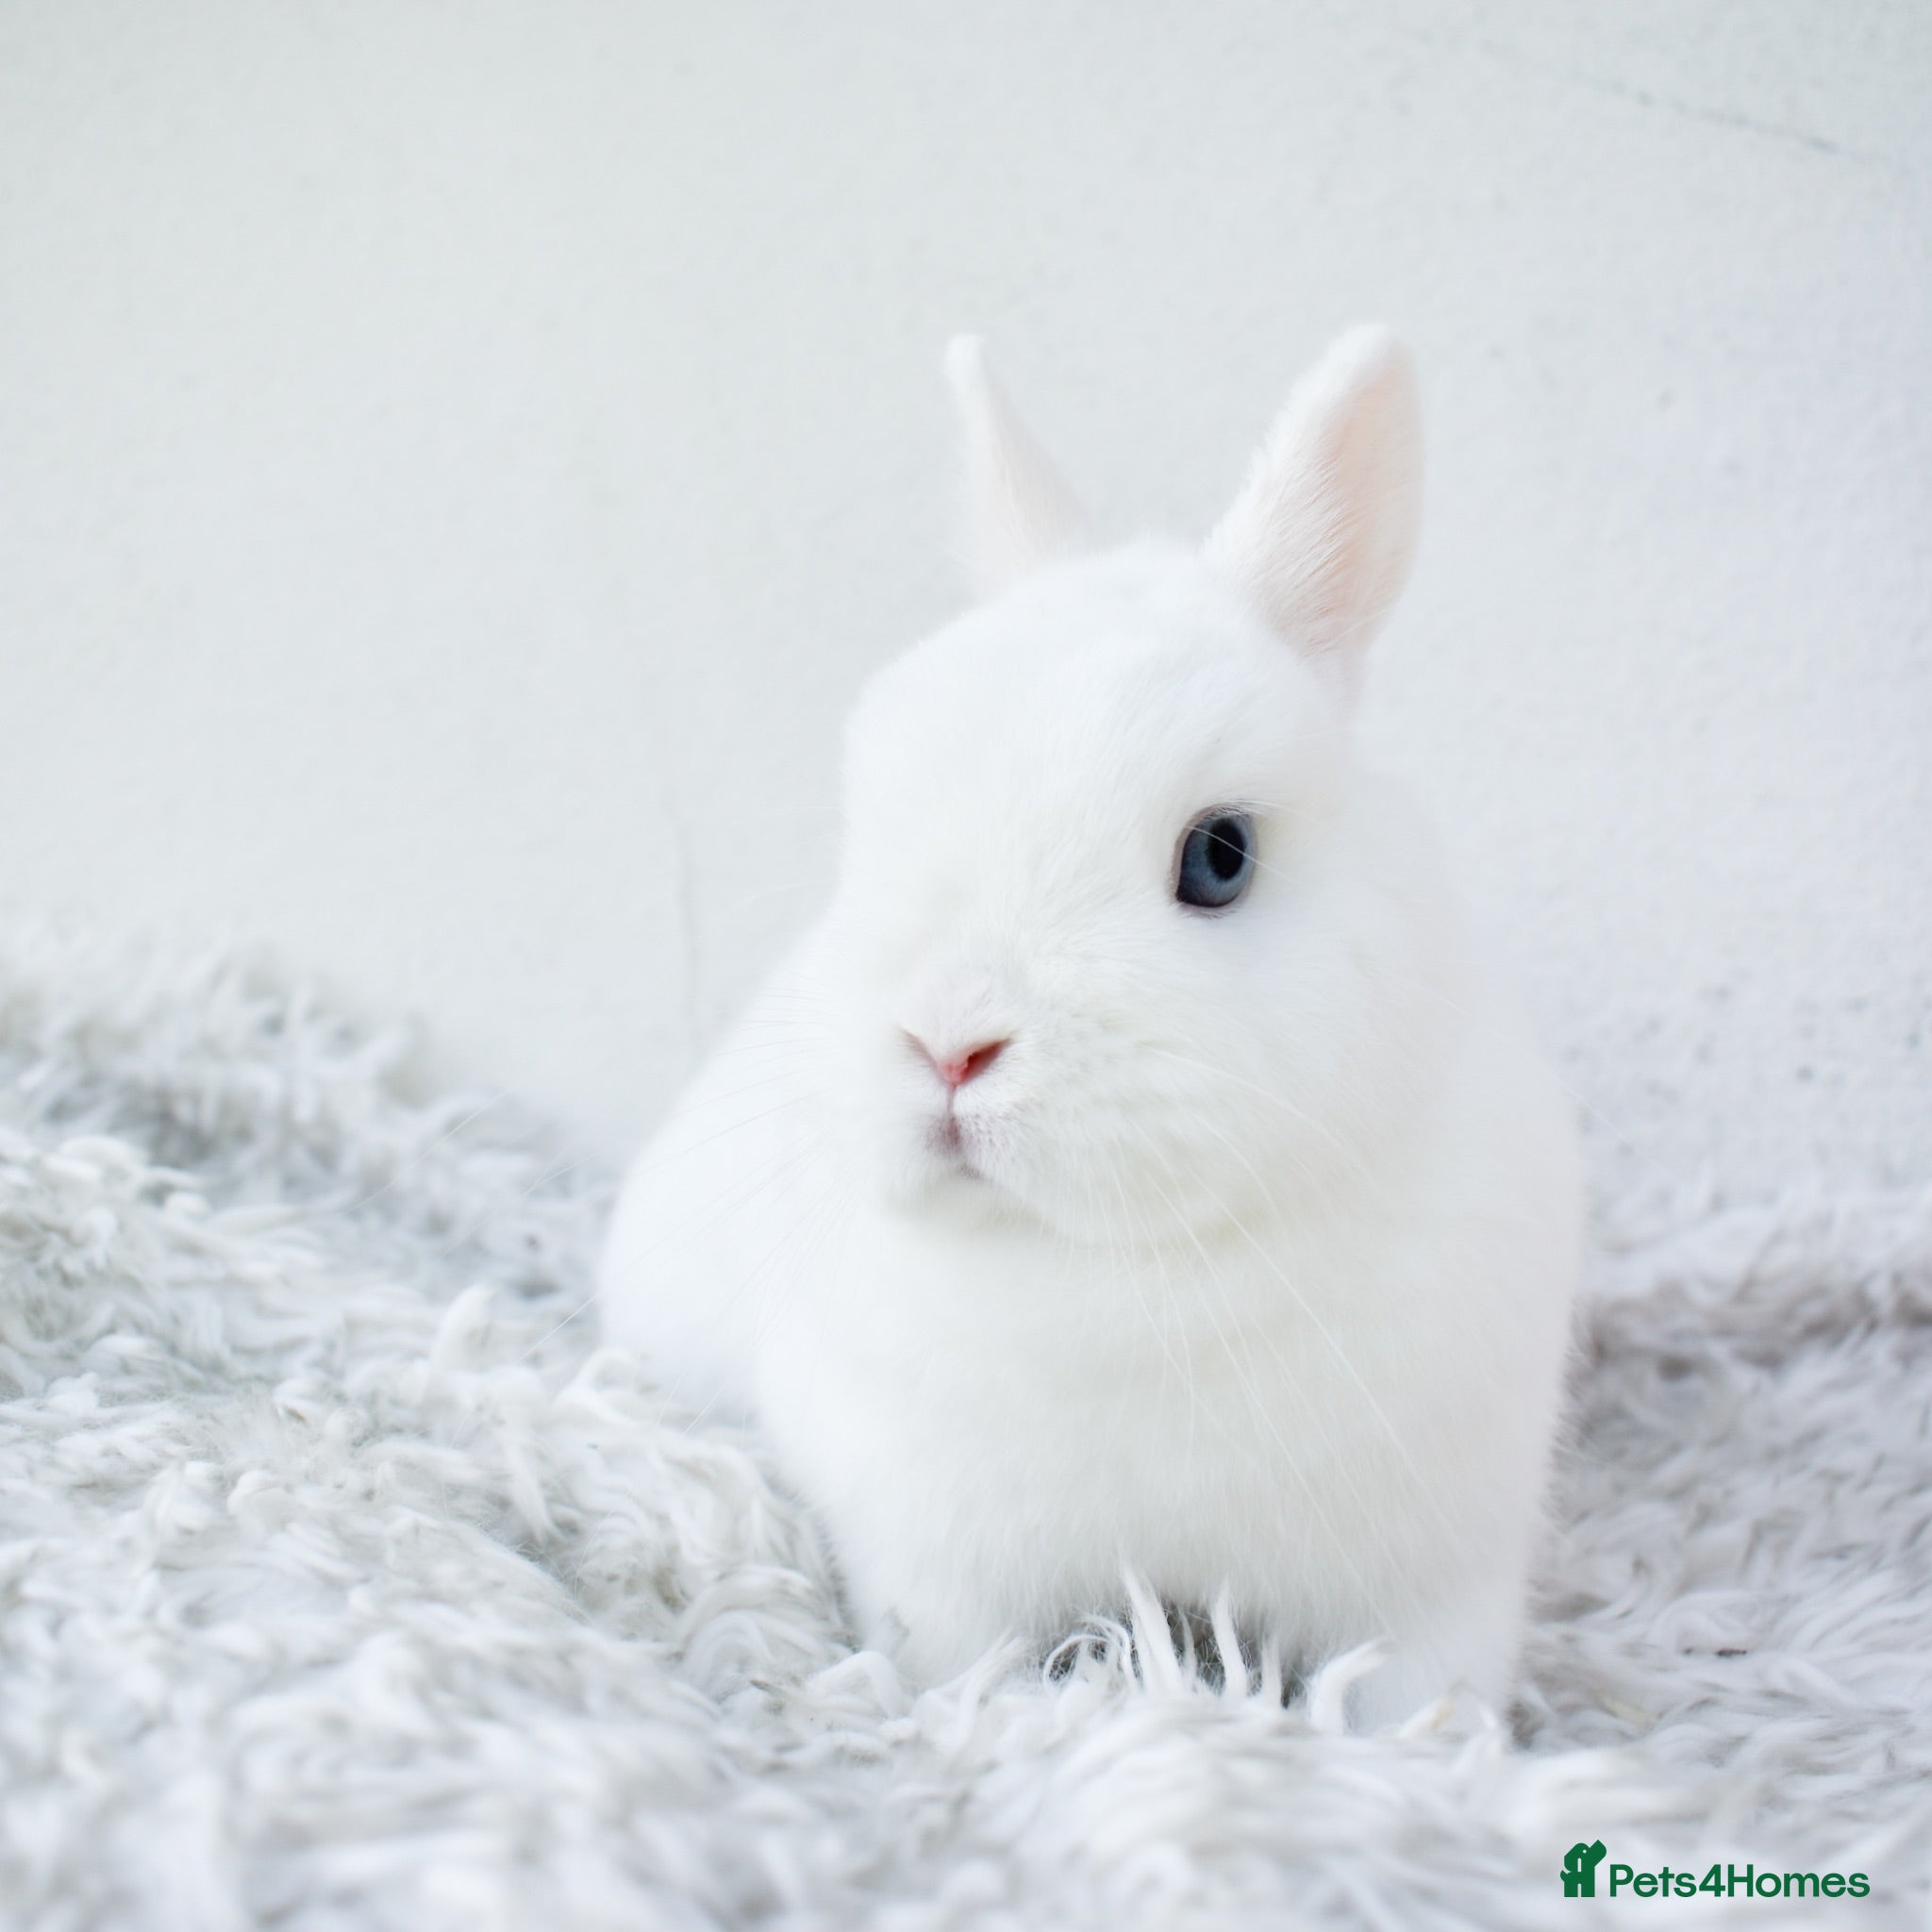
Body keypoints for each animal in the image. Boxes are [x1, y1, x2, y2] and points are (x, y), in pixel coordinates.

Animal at [599, 326, 1581, 1727]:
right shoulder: (937, 1566)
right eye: (871, 822)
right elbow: (961, 1670)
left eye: (1220, 856)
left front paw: (1434, 1759)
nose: (948, 1044)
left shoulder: (1437, 1579)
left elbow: (1414, 1705)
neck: (1129, 1268)